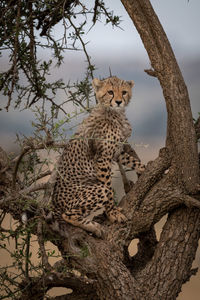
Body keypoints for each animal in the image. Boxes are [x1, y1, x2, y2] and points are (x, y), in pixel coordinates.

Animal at [51, 76, 145, 238]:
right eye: (110, 92)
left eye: (124, 92)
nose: (118, 101)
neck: (114, 113)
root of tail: (53, 203)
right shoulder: (102, 158)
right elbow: (108, 186)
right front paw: (112, 213)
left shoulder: (116, 152)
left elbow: (131, 161)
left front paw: (144, 168)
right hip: (94, 191)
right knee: (68, 215)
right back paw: (93, 227)